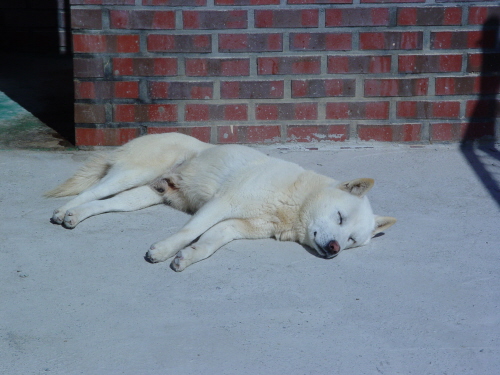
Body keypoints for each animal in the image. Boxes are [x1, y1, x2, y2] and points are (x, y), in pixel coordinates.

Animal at [47, 134, 398, 272]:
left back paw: (75, 215)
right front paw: (164, 250)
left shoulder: (236, 225)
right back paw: (62, 211)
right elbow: (190, 232)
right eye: (339, 217)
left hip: (142, 195)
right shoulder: (221, 203)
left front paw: (187, 257)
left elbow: (210, 242)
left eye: (351, 241)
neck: (293, 200)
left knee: (106, 203)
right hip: (133, 173)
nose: (335, 249)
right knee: (93, 191)